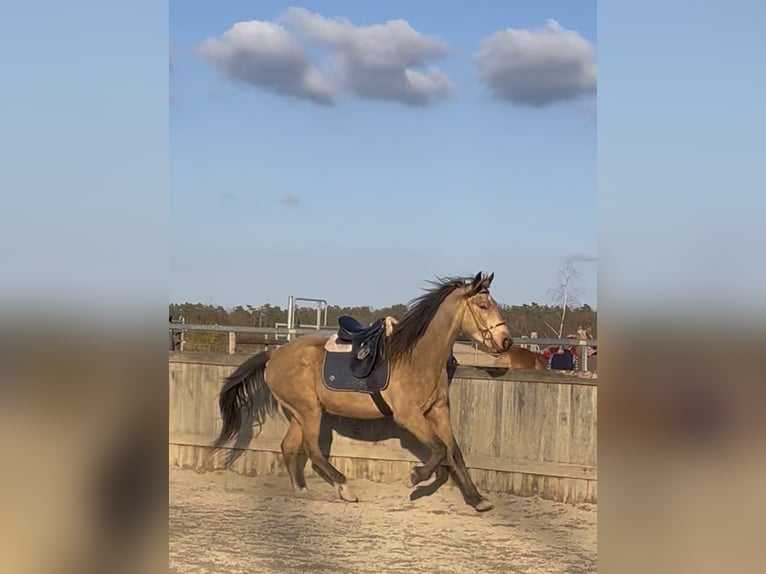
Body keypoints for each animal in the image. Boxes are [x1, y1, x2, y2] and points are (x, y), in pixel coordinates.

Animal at [210, 272, 512, 512]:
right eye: (483, 305)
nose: (506, 341)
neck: (418, 357)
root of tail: (273, 355)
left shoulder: (438, 412)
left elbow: (454, 451)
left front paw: (478, 500)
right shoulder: (409, 416)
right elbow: (439, 449)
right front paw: (415, 477)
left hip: (299, 412)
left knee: (289, 447)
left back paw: (301, 490)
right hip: (309, 411)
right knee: (312, 450)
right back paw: (344, 488)